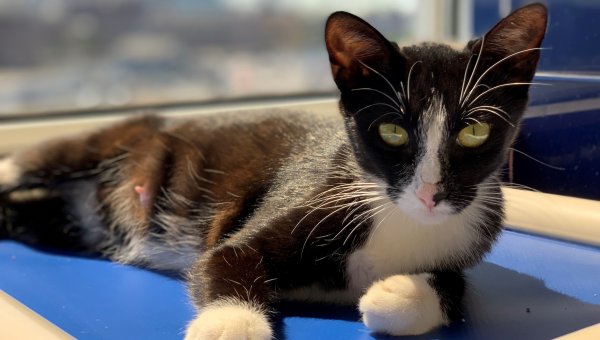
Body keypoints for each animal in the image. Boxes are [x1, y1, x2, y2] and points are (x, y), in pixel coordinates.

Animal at [0, 3, 548, 340]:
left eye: (473, 131)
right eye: (392, 130)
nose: (431, 192)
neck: (392, 212)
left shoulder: (465, 239)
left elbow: (458, 290)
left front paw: (400, 292)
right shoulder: (300, 199)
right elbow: (225, 258)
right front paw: (230, 325)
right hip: (102, 143)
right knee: (37, 159)